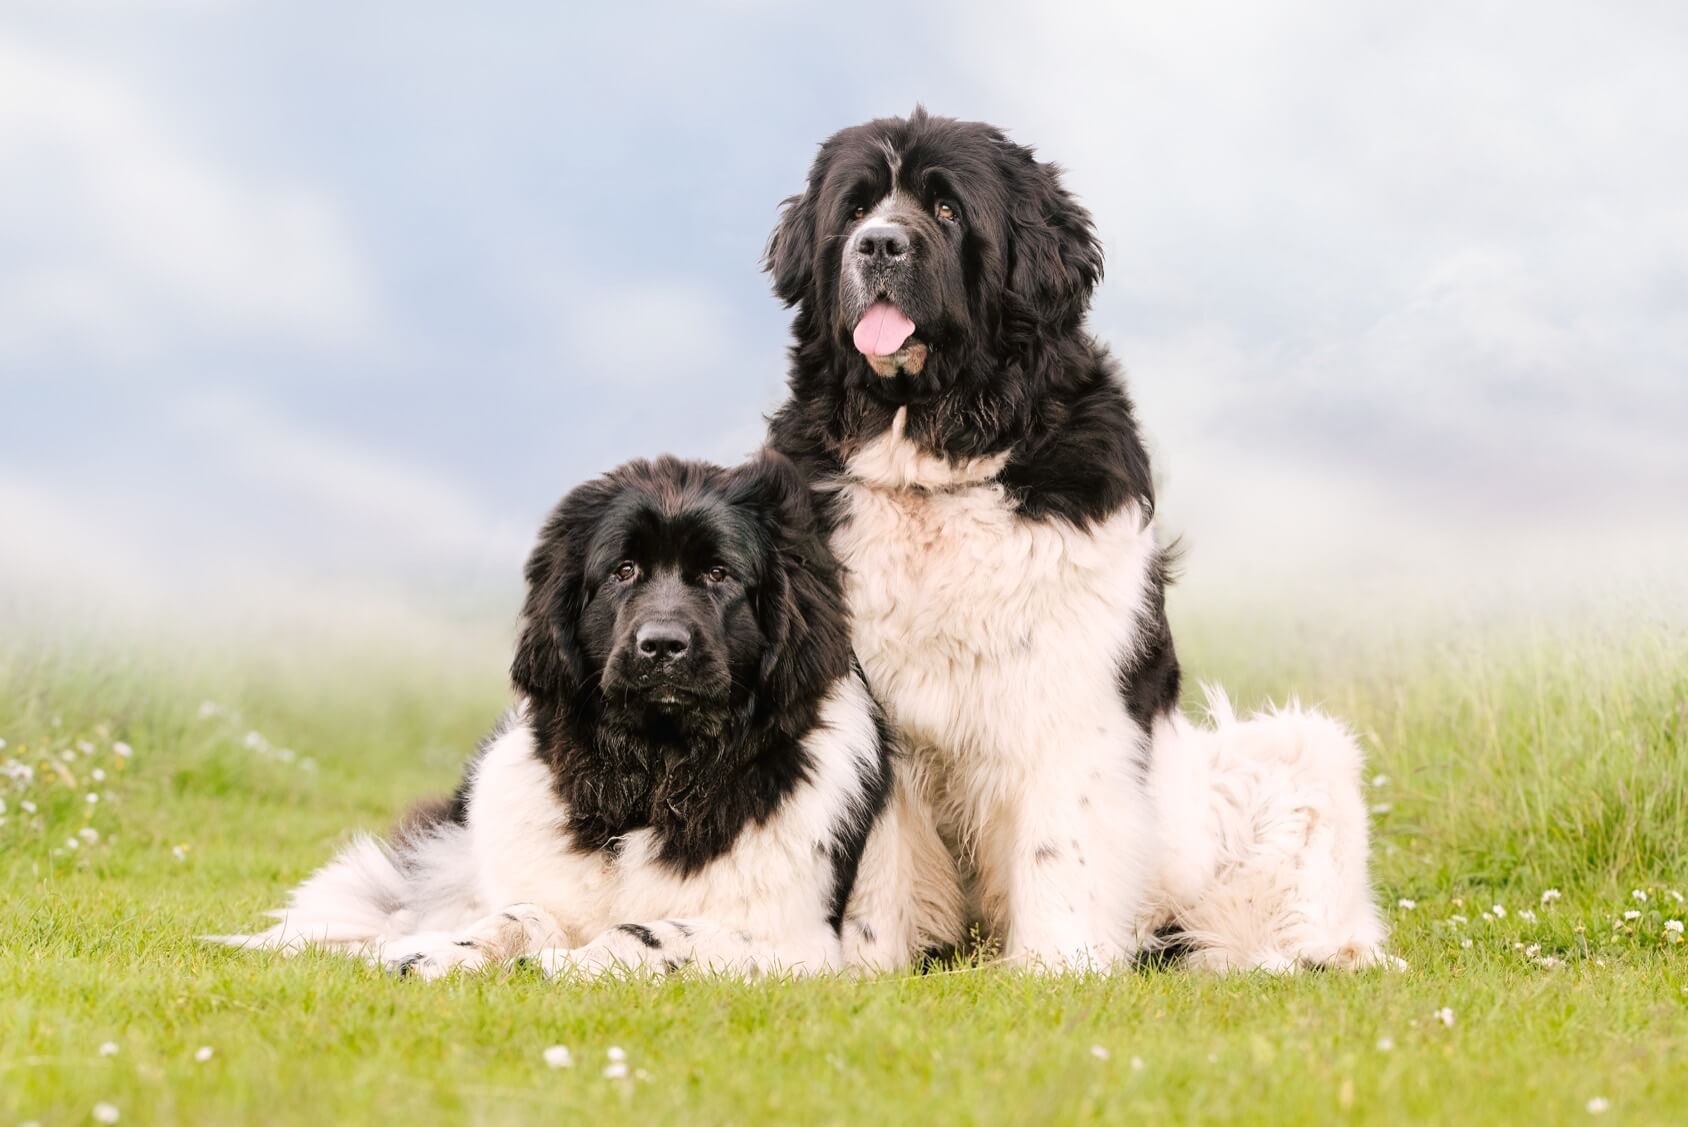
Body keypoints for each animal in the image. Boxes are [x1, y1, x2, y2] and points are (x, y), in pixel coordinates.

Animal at [211, 448, 965, 978]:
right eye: (623, 571)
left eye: (720, 575)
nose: (661, 645)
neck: (658, 766)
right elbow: (513, 915)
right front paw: (438, 951)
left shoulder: (801, 946)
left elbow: (657, 931)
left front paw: (570, 963)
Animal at [766, 107, 1384, 971]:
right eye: (854, 211)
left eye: (947, 209)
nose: (880, 244)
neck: (936, 462)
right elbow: (876, 862)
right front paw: (865, 965)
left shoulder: (1067, 686)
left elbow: (1061, 844)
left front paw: (1057, 967)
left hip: (1290, 760)